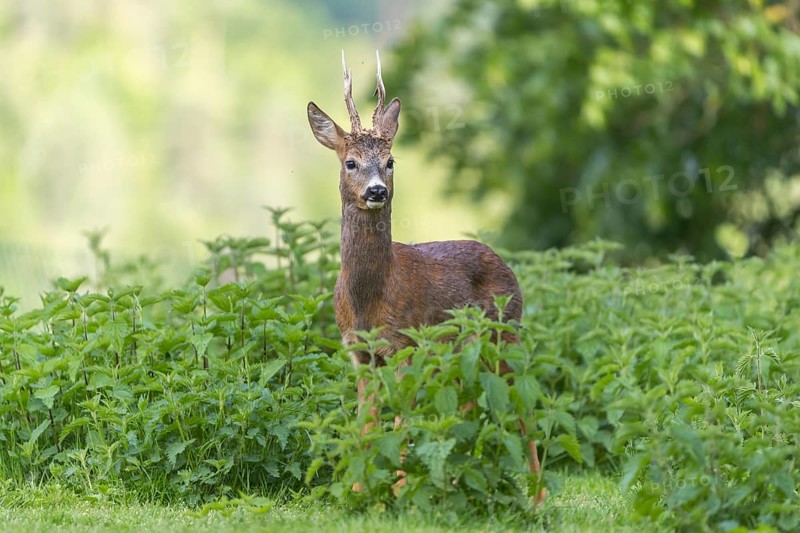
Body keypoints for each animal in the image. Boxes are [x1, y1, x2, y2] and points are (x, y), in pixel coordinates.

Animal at [306, 51, 544, 504]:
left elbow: (401, 419)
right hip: (464, 349)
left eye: (390, 161)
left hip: (504, 330)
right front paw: (360, 493)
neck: (369, 299)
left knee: (523, 402)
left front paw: (400, 492)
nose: (377, 191)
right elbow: (367, 423)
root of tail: (503, 261)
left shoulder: (407, 343)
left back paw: (538, 498)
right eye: (350, 162)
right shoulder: (359, 351)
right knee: (468, 402)